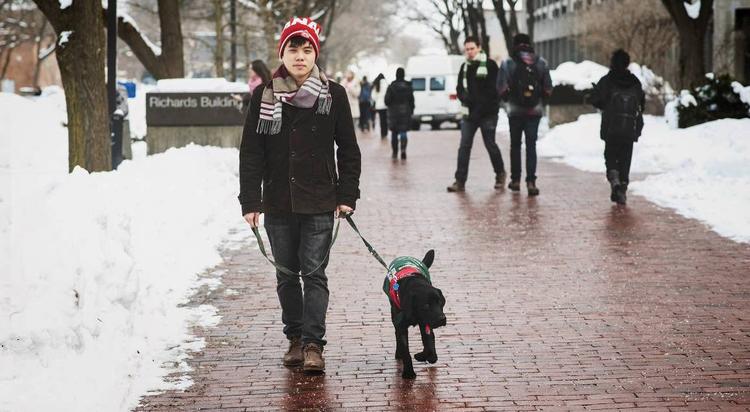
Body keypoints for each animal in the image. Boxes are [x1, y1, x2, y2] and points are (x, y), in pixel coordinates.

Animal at [384, 249, 450, 378]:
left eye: (440, 302)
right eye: (426, 305)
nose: (442, 319)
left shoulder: (426, 323)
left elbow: (429, 343)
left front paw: (423, 356)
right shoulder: (401, 326)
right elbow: (406, 351)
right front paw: (409, 372)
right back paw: (398, 353)